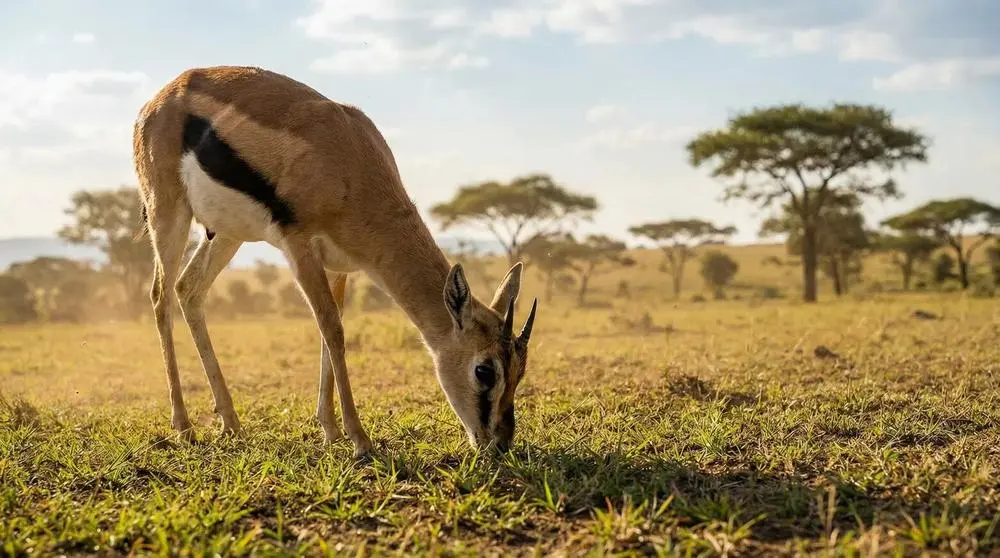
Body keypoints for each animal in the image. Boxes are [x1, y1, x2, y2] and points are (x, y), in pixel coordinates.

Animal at [132, 65, 537, 457]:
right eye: (484, 370)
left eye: (521, 369)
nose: (499, 443)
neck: (350, 161)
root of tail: (162, 95)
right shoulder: (299, 246)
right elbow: (333, 330)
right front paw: (359, 439)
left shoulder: (339, 263)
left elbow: (332, 331)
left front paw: (330, 430)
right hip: (169, 214)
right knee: (160, 297)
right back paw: (184, 427)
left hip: (228, 234)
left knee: (188, 289)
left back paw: (230, 422)